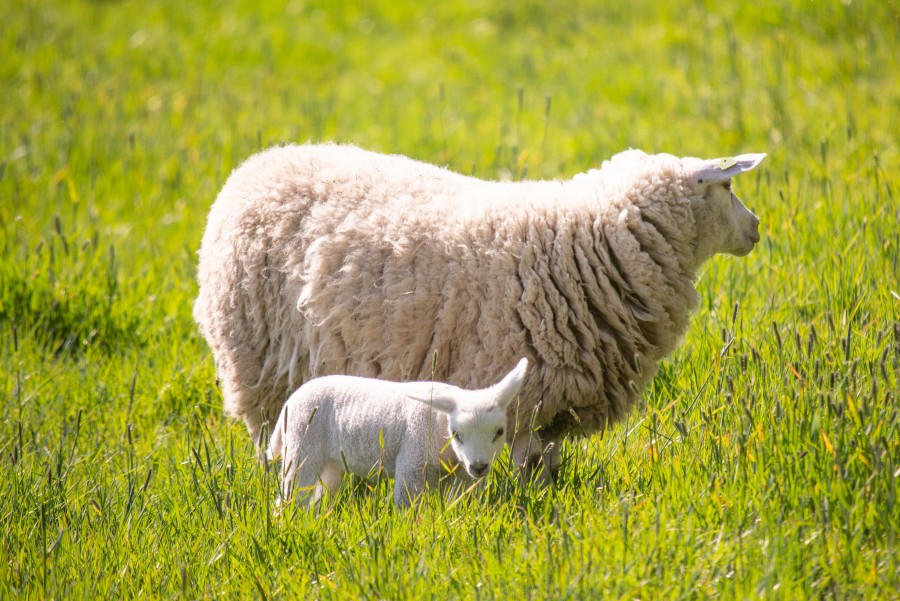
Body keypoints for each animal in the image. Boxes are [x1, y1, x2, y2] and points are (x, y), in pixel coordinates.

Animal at [193, 143, 766, 480]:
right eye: (728, 186)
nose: (759, 228)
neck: (586, 242)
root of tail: (258, 164)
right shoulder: (511, 387)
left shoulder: (551, 402)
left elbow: (544, 464)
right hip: (256, 363)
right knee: (269, 434)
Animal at [266, 358, 528, 507]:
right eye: (456, 434)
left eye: (499, 432)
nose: (479, 466)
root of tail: (291, 399)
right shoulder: (412, 465)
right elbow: (408, 509)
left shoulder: (462, 478)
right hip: (302, 447)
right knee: (292, 494)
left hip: (331, 462)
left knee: (318, 496)